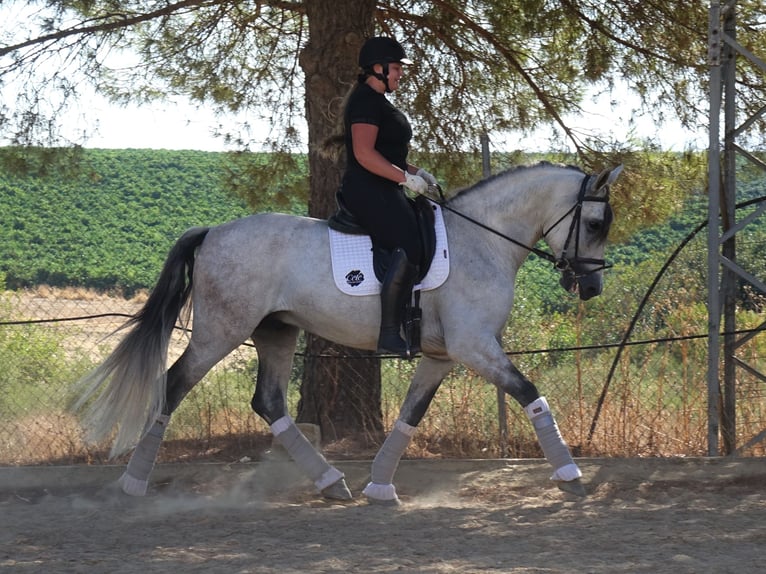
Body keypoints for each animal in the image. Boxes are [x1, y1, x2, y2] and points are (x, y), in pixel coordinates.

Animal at [73, 161, 623, 504]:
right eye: (596, 223)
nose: (592, 286)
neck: (482, 240)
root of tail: (211, 232)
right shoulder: (475, 347)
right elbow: (530, 393)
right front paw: (571, 476)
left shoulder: (441, 356)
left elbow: (409, 416)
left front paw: (379, 487)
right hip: (221, 331)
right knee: (173, 385)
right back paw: (132, 485)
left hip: (276, 332)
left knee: (269, 402)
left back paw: (332, 482)